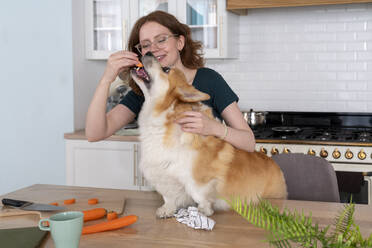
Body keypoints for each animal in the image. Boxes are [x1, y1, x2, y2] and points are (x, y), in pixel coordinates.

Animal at [131, 51, 288, 217]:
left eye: (166, 69)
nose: (147, 52)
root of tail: (276, 167)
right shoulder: (163, 176)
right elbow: (169, 197)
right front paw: (167, 210)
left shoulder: (198, 179)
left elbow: (199, 194)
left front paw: (203, 210)